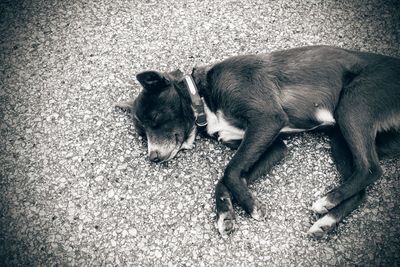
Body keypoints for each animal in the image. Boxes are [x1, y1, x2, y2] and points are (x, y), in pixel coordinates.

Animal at [116, 45, 400, 239]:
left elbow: (229, 170)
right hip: (339, 140)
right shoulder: (272, 146)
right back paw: (326, 222)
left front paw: (251, 207)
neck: (203, 97)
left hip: (353, 105)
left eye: (155, 118)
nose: (152, 157)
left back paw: (326, 201)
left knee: (371, 169)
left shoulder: (267, 120)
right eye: (142, 135)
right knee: (361, 187)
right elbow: (230, 175)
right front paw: (225, 213)